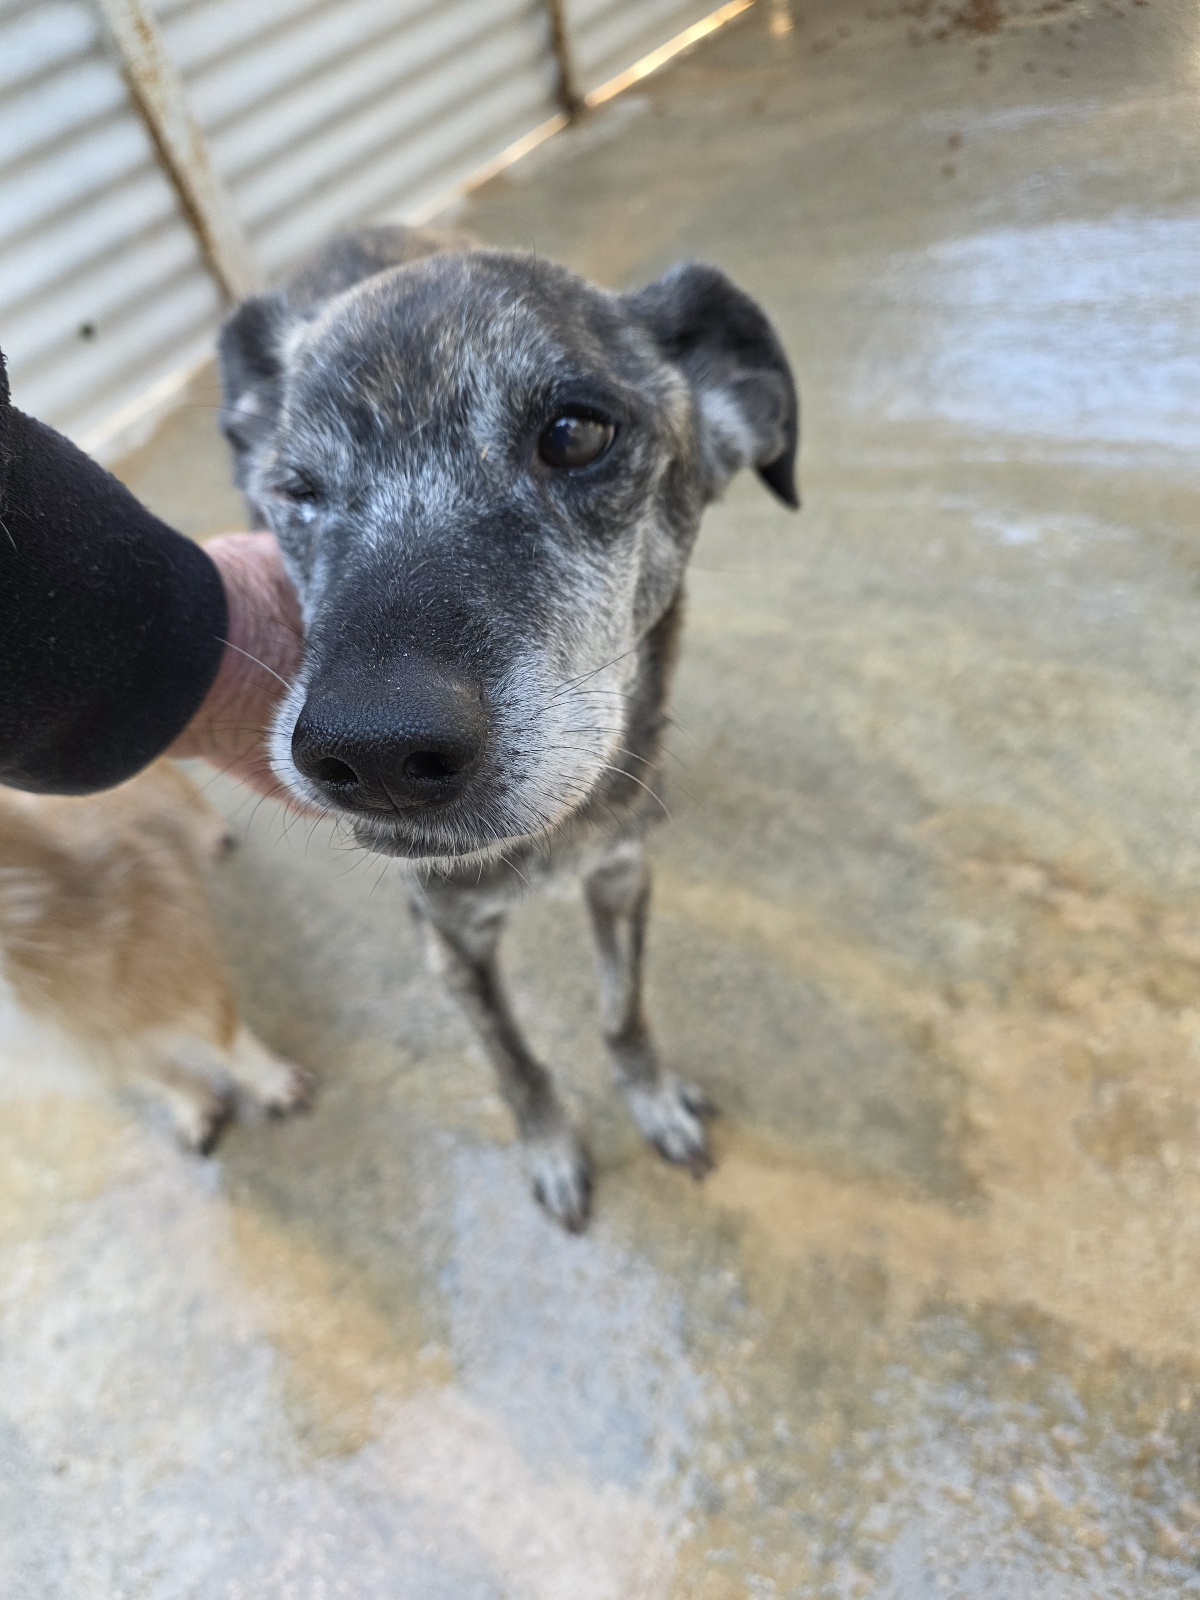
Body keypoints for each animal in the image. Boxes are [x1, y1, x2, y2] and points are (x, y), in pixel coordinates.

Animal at [0, 761, 310, 1150]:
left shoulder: (182, 972)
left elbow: (228, 1044)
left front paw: (272, 1082)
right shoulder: (89, 1051)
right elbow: (159, 1077)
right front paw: (194, 1105)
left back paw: (211, 832)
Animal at [218, 224, 798, 1229]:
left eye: (574, 434)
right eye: (297, 490)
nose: (371, 755)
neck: (553, 844)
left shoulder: (621, 876)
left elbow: (624, 1014)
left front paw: (653, 1101)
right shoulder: (453, 945)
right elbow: (517, 1062)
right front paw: (553, 1149)